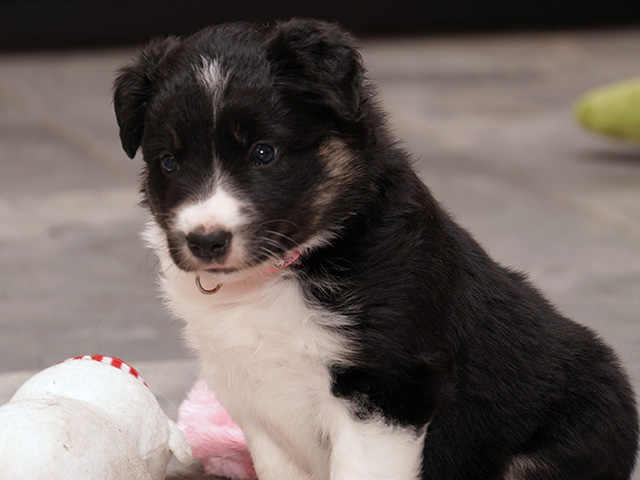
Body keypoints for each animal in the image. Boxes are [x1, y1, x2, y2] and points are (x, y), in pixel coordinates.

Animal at [114, 19, 639, 480]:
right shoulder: (255, 398)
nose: (206, 241)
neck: (287, 269)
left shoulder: (387, 387)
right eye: (168, 161)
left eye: (264, 152)